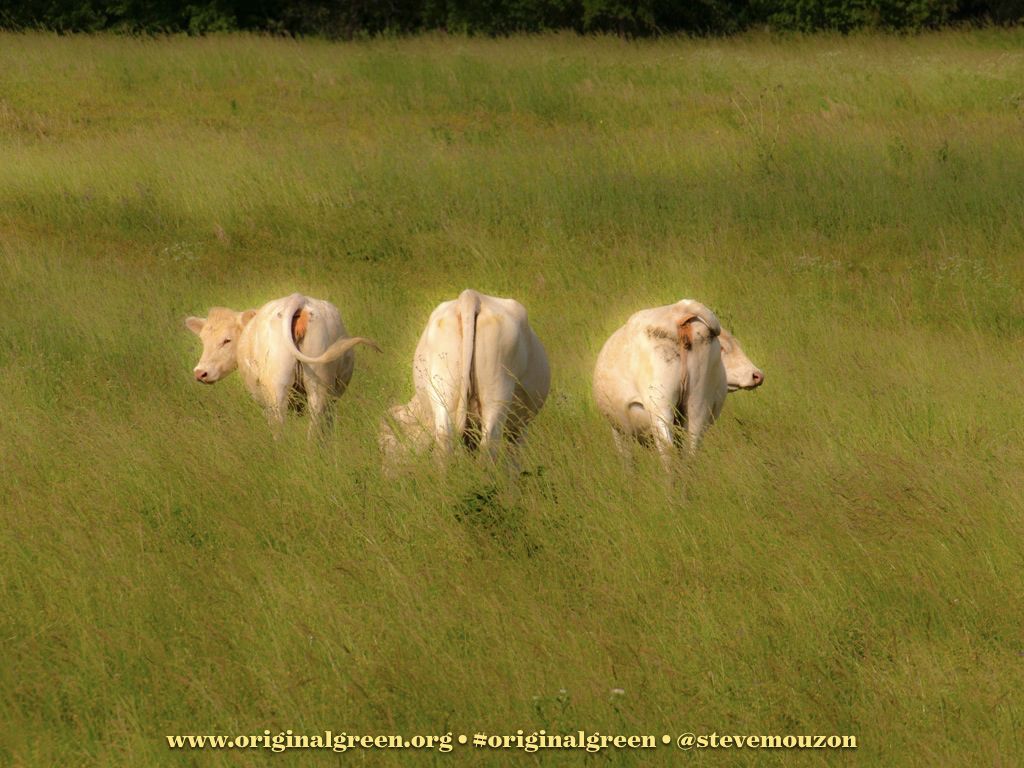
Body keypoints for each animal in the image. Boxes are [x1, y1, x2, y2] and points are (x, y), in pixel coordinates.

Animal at [186, 293, 379, 437]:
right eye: (203, 340)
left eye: (227, 340)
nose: (200, 372)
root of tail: (298, 299)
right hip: (320, 385)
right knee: (316, 425)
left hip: (277, 388)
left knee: (280, 427)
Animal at [380, 289, 550, 467]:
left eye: (384, 448)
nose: (383, 472)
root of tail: (471, 296)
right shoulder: (519, 426)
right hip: (497, 391)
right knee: (487, 447)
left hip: (444, 392)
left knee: (445, 443)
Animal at [592, 299, 763, 469]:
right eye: (723, 348)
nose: (758, 375)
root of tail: (680, 308)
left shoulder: (619, 430)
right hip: (698, 404)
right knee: (691, 448)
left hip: (660, 406)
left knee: (667, 451)